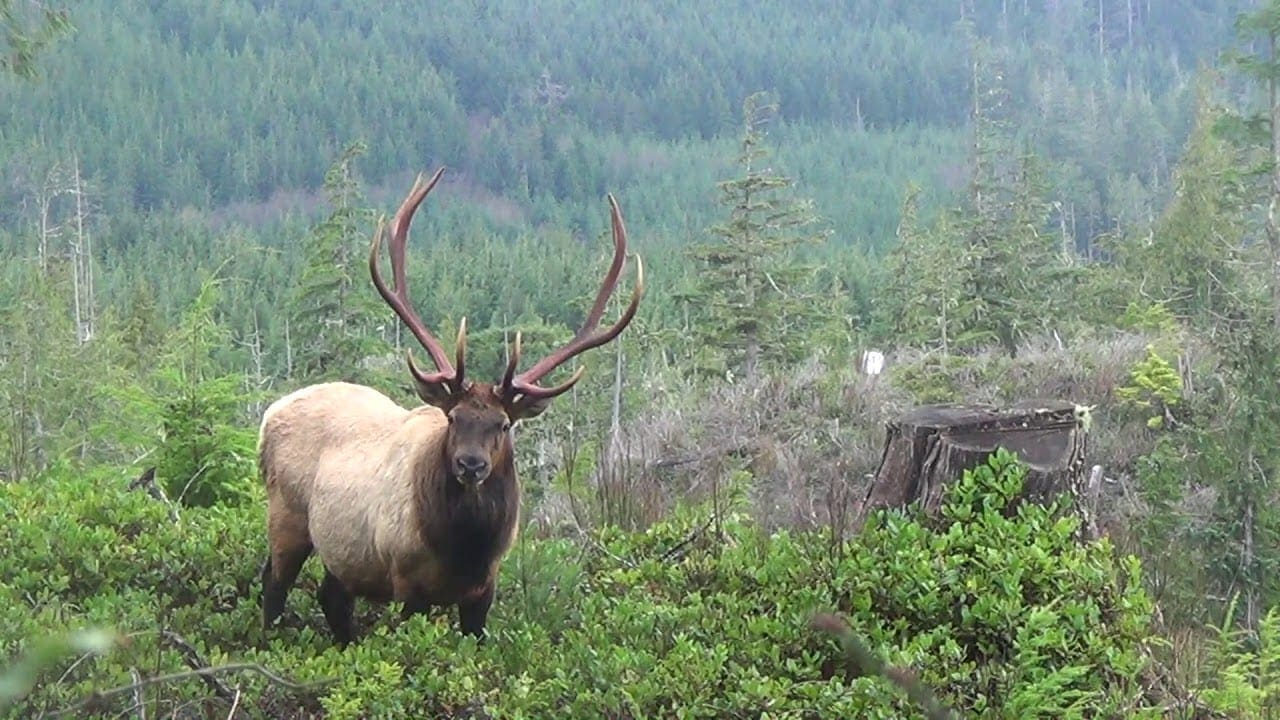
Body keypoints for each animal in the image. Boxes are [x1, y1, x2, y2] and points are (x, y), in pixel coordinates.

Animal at [256, 167, 643, 644]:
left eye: (504, 425)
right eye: (453, 417)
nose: (470, 465)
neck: (463, 552)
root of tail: (269, 415)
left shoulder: (484, 590)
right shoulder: (406, 581)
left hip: (344, 554)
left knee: (331, 596)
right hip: (287, 514)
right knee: (273, 584)